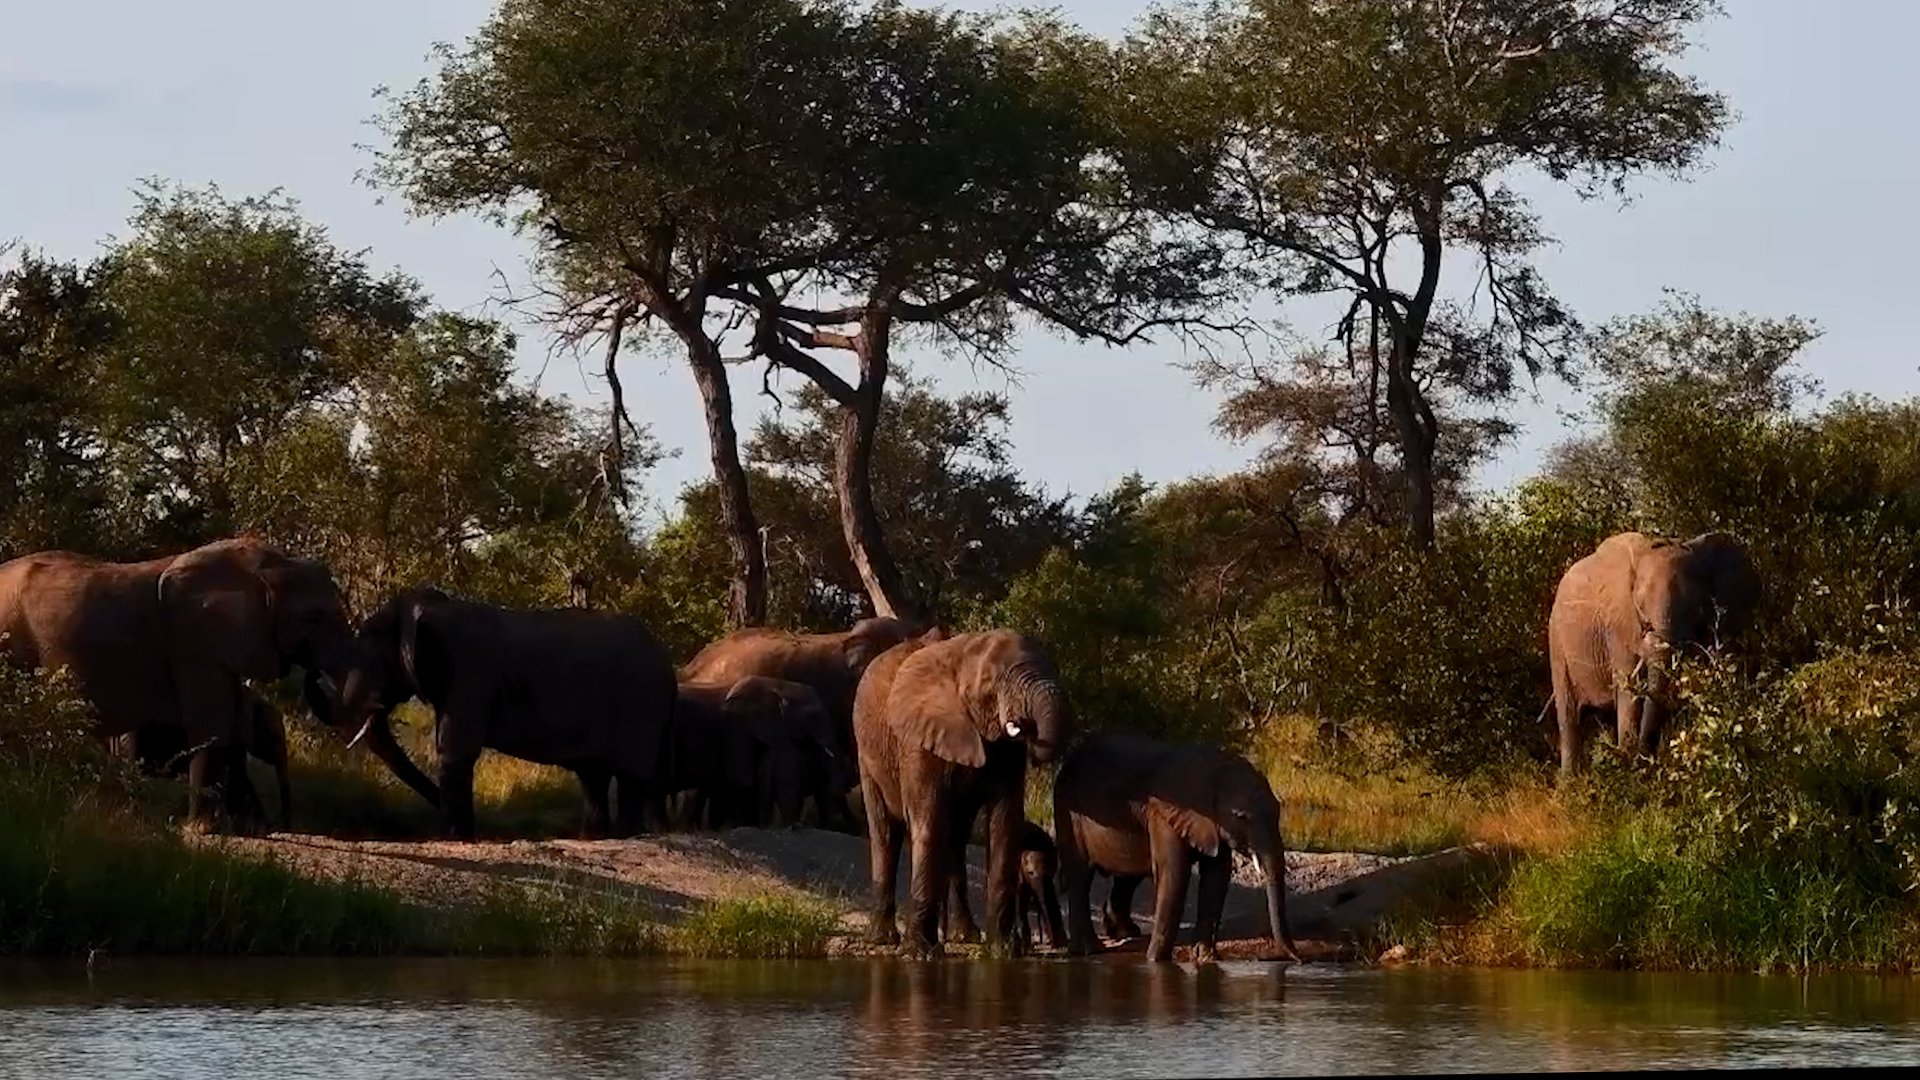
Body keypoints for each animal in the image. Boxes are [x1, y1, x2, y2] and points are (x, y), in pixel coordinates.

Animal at [331, 586, 676, 840]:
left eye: (371, 659)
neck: (434, 608)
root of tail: (667, 661)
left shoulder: (472, 674)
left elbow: (455, 751)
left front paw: (456, 838)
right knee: (593, 778)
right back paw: (595, 838)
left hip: (639, 706)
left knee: (627, 777)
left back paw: (624, 836)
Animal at [1014, 820, 1066, 951]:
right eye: (1030, 872)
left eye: (1051, 869)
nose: (1053, 944)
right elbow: (1020, 902)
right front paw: (1027, 947)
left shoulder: (1049, 880)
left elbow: (1051, 900)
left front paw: (1061, 942)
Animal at [1053, 730, 1302, 964]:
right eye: (1241, 817)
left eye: (1278, 811)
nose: (1296, 960)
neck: (1214, 770)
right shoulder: (1165, 816)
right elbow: (1175, 876)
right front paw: (1155, 961)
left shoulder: (1212, 825)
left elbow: (1216, 878)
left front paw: (1206, 959)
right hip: (1067, 807)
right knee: (1080, 875)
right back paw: (1088, 950)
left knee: (1128, 876)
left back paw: (1124, 933)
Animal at [1549, 530, 1761, 777]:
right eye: (1641, 610)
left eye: (1697, 607)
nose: (1647, 759)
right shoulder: (1620, 627)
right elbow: (1629, 694)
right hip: (1557, 643)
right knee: (1569, 717)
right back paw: (1570, 781)